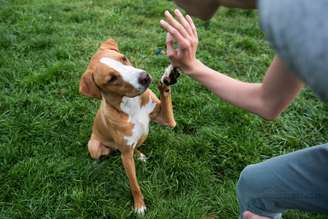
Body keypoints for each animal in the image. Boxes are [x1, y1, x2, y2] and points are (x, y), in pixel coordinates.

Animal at [79, 37, 179, 214]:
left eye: (123, 58)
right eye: (111, 79)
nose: (145, 77)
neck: (132, 104)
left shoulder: (167, 120)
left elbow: (166, 97)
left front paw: (167, 77)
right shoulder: (125, 157)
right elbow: (134, 185)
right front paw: (139, 206)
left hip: (142, 136)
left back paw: (139, 155)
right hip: (94, 146)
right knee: (107, 152)